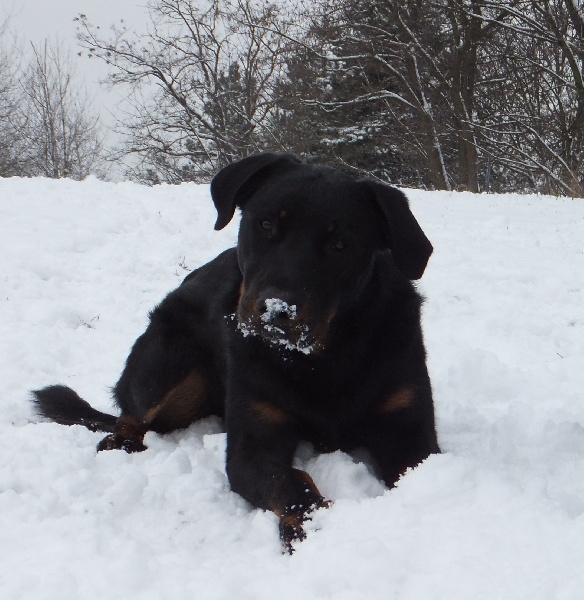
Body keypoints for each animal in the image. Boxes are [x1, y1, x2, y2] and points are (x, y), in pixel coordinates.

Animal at [34, 154, 440, 552]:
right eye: (265, 223)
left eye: (341, 244)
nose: (277, 309)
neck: (321, 359)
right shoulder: (253, 439)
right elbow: (291, 480)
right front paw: (310, 527)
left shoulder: (407, 426)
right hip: (165, 358)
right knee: (131, 413)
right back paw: (120, 443)